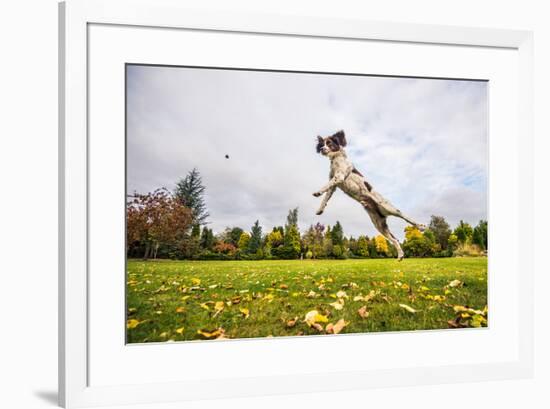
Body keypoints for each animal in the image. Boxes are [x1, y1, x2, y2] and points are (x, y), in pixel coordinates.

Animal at [314, 129, 426, 260]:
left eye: (329, 143)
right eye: (322, 144)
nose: (322, 149)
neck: (336, 159)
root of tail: (382, 212)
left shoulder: (340, 177)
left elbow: (326, 186)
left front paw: (317, 192)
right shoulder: (334, 186)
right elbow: (326, 197)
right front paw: (320, 209)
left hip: (389, 208)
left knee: (405, 216)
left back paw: (421, 226)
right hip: (379, 225)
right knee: (394, 239)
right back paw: (400, 255)